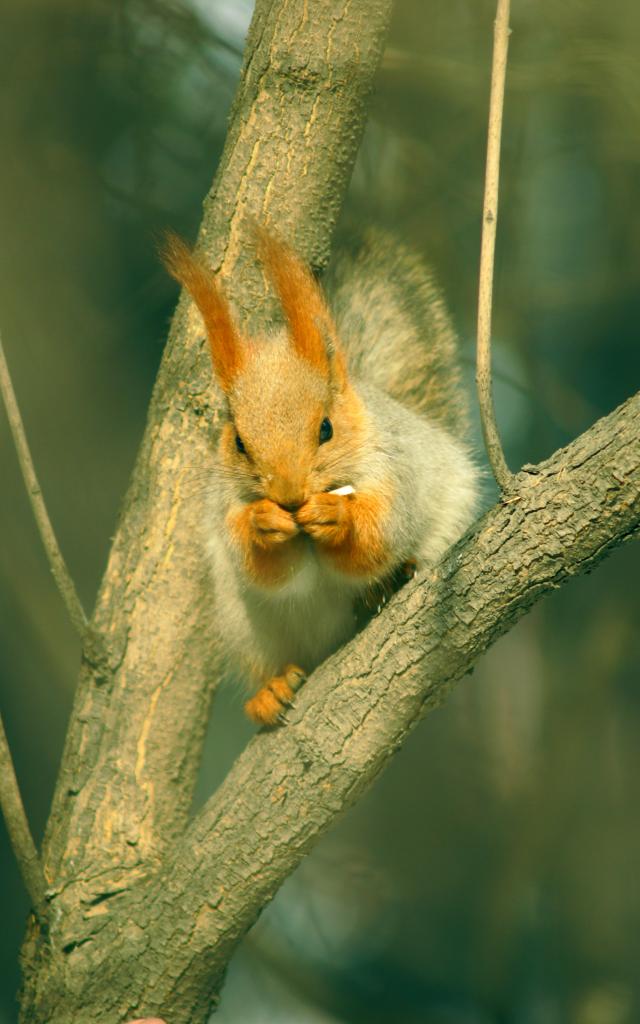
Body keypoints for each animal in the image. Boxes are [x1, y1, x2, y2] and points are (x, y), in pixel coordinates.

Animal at [161, 226, 477, 729]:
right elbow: (262, 566)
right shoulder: (225, 507)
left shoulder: (397, 471)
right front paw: (264, 525)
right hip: (245, 627)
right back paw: (270, 690)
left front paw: (337, 518)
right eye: (239, 443)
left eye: (326, 428)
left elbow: (379, 534)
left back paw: (392, 580)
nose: (290, 498)